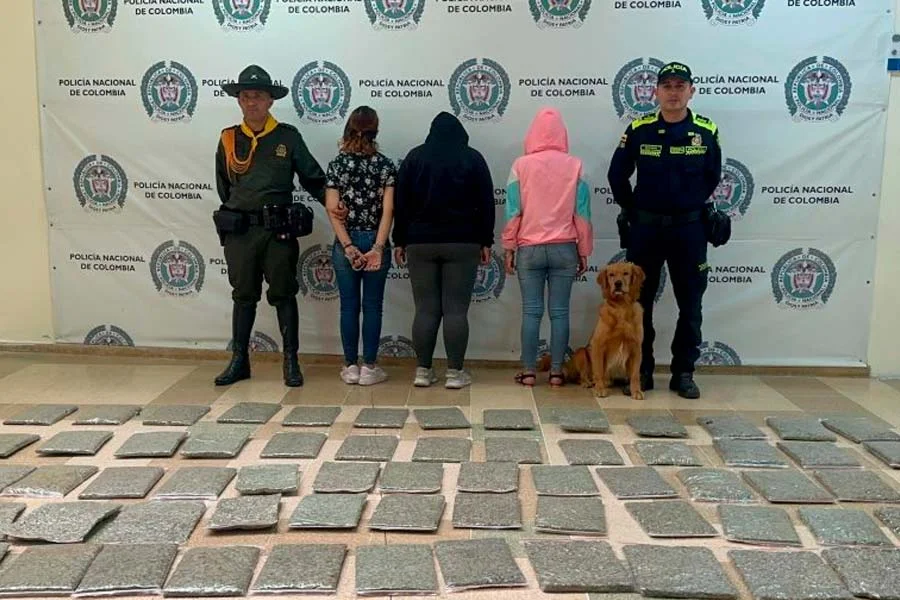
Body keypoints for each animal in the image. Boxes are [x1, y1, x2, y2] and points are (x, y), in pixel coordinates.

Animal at [588, 262, 644, 398]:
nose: (618, 283)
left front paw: (636, 391)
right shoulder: (597, 345)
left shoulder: (636, 348)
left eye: (626, 273)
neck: (621, 307)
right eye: (611, 274)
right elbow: (599, 371)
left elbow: (635, 375)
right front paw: (599, 388)